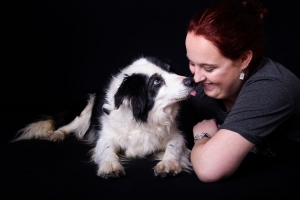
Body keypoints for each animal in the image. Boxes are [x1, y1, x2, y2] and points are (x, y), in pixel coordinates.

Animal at [13, 56, 197, 178]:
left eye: (170, 70)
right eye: (156, 82)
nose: (191, 81)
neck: (142, 118)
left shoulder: (176, 136)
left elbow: (173, 146)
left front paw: (167, 164)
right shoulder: (106, 137)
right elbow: (108, 148)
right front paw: (110, 165)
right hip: (86, 107)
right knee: (67, 125)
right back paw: (57, 135)